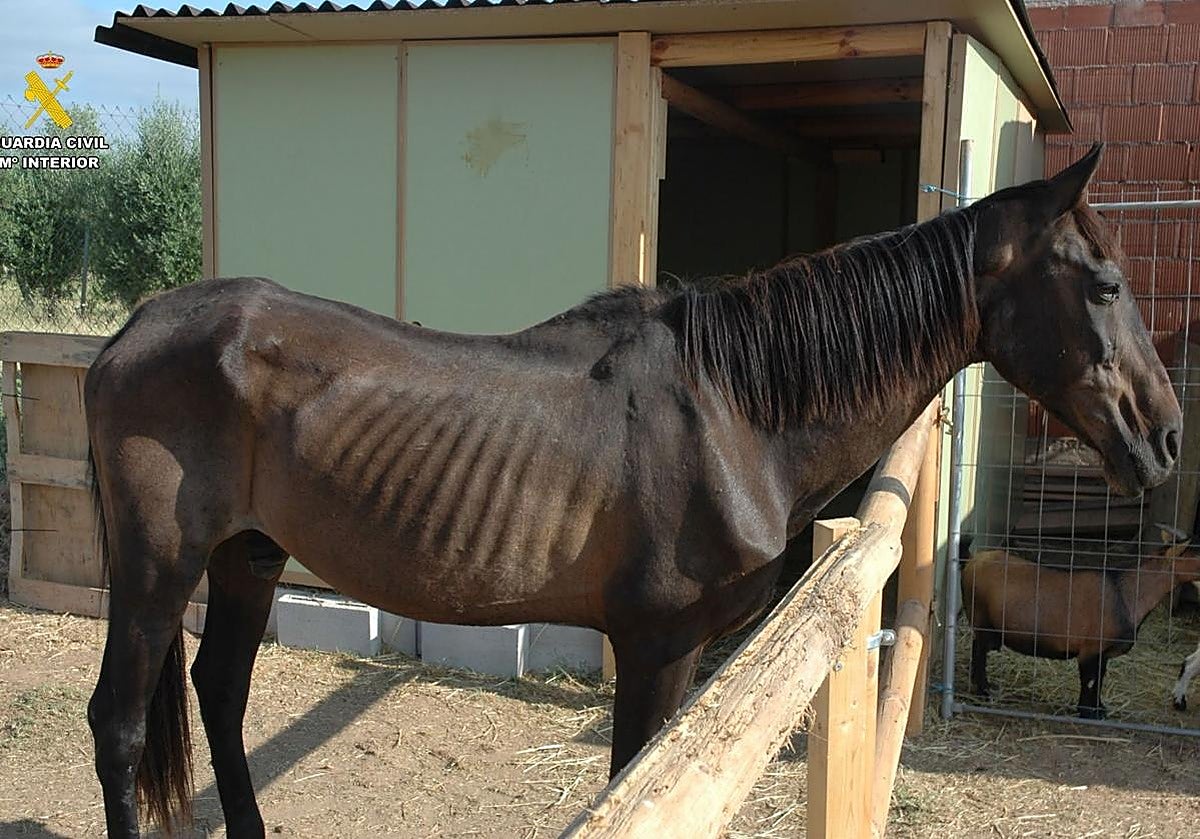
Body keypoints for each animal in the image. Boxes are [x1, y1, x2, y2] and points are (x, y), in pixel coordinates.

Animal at [84, 143, 1181, 837]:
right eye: (1106, 285)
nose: (1165, 437)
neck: (734, 408)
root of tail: (132, 329)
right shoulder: (657, 642)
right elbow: (633, 777)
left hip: (247, 557)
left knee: (221, 696)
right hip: (155, 572)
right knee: (120, 725)